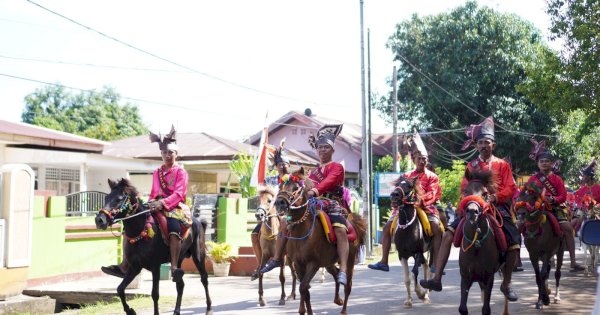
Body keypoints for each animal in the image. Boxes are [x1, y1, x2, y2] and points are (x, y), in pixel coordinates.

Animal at [95, 179, 212, 315]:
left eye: (118, 199)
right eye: (106, 198)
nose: (99, 220)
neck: (140, 231)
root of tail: (198, 221)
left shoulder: (155, 267)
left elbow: (155, 294)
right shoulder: (135, 267)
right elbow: (120, 289)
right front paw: (130, 311)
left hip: (198, 255)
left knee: (204, 278)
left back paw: (209, 308)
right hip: (179, 258)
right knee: (180, 284)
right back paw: (176, 311)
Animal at [276, 168, 368, 315]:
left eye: (296, 188)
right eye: (281, 186)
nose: (280, 202)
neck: (302, 232)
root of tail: (352, 222)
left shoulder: (313, 263)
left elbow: (303, 287)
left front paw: (307, 311)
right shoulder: (298, 264)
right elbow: (305, 289)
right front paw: (304, 310)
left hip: (349, 259)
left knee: (347, 284)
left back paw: (343, 309)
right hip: (328, 262)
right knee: (336, 274)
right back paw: (337, 299)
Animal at [390, 177, 432, 308]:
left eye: (409, 186)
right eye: (397, 184)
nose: (394, 195)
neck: (407, 228)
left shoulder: (417, 252)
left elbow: (414, 273)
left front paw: (420, 293)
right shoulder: (402, 255)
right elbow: (407, 278)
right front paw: (408, 300)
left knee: (427, 268)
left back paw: (426, 295)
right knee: (425, 265)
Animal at [458, 170, 508, 315]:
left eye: (485, 194)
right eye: (466, 191)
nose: (472, 212)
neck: (476, 245)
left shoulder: (488, 277)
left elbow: (486, 309)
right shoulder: (465, 276)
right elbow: (462, 308)